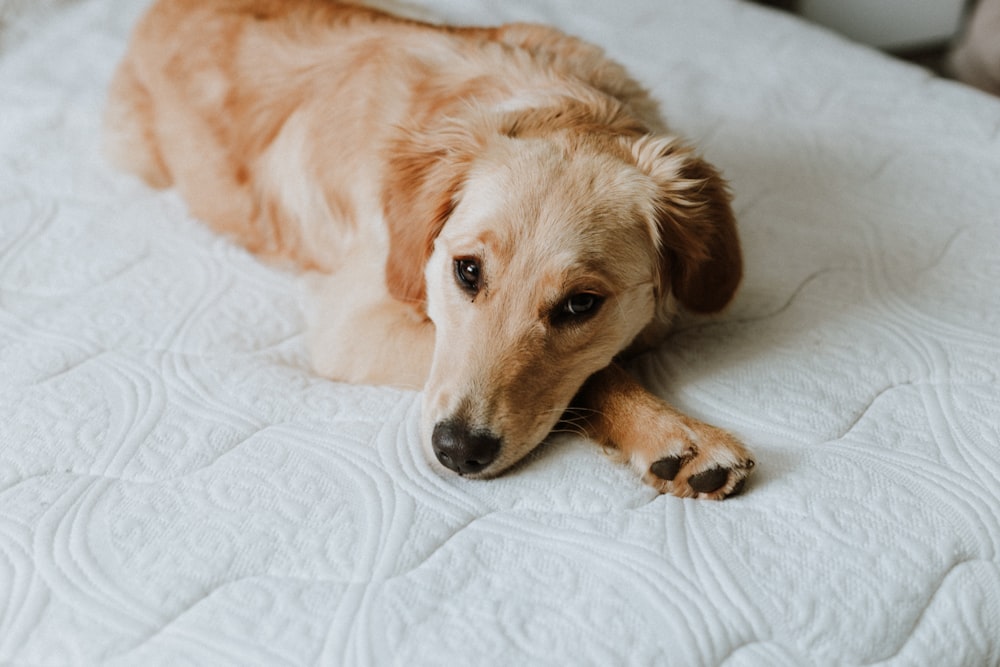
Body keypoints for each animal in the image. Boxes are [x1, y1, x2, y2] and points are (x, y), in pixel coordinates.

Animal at [105, 0, 752, 498]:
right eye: (466, 271)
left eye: (580, 305)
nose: (458, 451)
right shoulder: (353, 326)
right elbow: (599, 375)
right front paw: (670, 431)